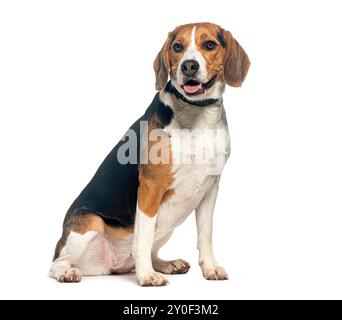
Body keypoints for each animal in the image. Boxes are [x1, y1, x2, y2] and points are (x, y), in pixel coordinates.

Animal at [48, 21, 248, 284]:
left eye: (209, 44)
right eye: (177, 46)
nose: (189, 66)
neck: (196, 114)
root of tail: (111, 266)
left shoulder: (210, 187)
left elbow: (205, 234)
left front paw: (210, 267)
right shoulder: (151, 186)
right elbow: (142, 237)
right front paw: (146, 276)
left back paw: (165, 264)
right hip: (89, 224)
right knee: (56, 262)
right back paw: (68, 271)